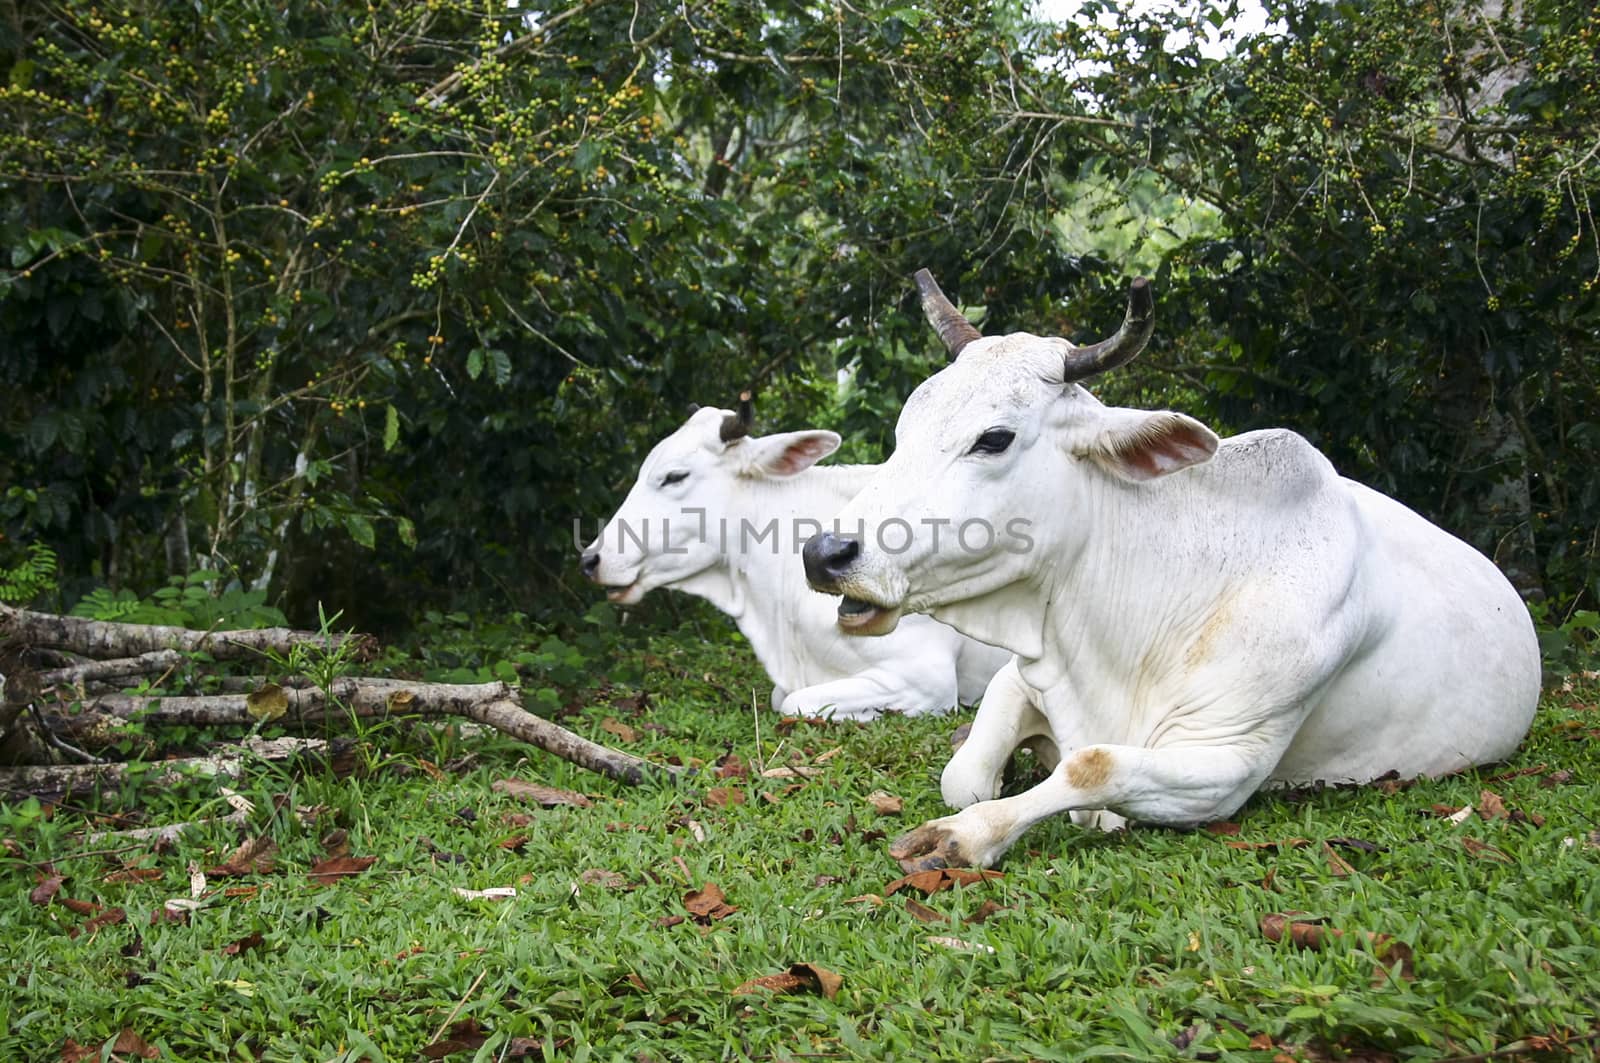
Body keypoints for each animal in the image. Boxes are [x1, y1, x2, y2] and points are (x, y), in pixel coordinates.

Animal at [806, 270, 1542, 870]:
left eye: (994, 438)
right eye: (905, 428)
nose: (826, 552)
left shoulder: (1228, 763)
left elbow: (1091, 767)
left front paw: (965, 834)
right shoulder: (1023, 674)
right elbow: (964, 774)